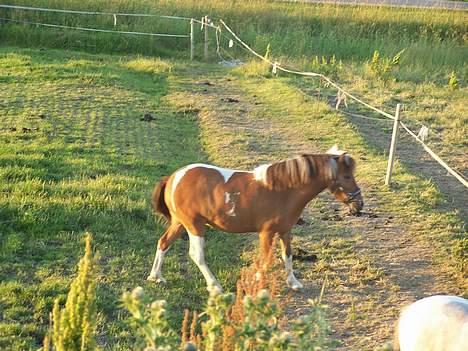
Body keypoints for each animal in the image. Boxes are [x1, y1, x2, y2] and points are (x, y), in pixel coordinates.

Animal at [146, 146, 362, 294]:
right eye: (346, 176)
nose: (359, 204)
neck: (284, 189)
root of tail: (173, 178)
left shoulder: (285, 231)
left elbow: (287, 256)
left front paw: (293, 283)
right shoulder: (266, 233)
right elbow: (265, 260)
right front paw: (257, 282)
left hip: (179, 223)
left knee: (163, 243)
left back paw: (155, 277)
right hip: (194, 225)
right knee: (196, 255)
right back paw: (214, 286)